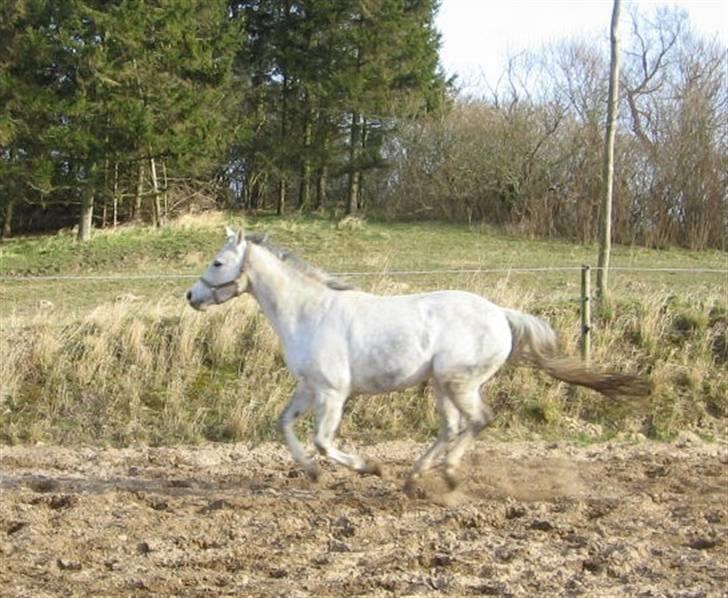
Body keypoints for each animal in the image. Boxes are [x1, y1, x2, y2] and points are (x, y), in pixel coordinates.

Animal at [186, 230, 648, 492]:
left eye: (218, 261)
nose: (191, 296)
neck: (308, 312)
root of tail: (501, 314)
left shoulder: (333, 393)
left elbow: (323, 441)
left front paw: (369, 468)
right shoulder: (309, 387)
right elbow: (283, 425)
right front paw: (314, 475)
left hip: (459, 381)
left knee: (477, 420)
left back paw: (448, 475)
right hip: (442, 385)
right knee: (453, 427)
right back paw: (415, 476)